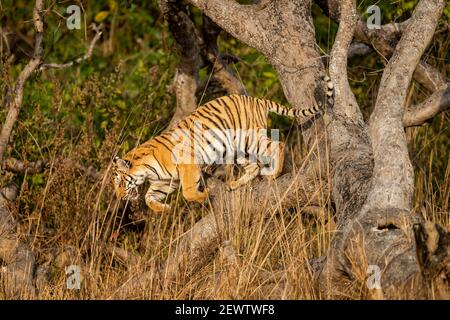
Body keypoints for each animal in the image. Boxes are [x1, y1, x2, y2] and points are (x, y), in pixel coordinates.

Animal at [111, 83, 330, 212]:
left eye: (120, 182)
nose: (119, 197)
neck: (147, 170)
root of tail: (256, 99)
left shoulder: (187, 165)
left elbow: (188, 192)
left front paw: (204, 195)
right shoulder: (165, 181)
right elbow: (149, 198)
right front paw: (164, 209)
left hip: (248, 139)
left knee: (277, 145)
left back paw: (273, 175)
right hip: (238, 150)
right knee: (254, 167)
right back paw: (234, 184)